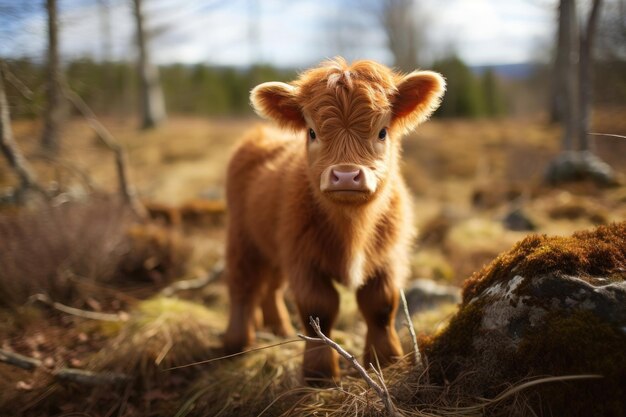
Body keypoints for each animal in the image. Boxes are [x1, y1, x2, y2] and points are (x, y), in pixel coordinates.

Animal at [221, 57, 444, 382]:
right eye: (312, 132)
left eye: (382, 132)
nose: (347, 176)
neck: (352, 227)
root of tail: (261, 134)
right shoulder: (304, 260)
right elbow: (319, 311)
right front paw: (319, 375)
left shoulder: (387, 257)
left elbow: (380, 306)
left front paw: (387, 361)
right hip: (242, 236)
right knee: (243, 285)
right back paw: (236, 344)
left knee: (270, 287)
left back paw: (278, 328)